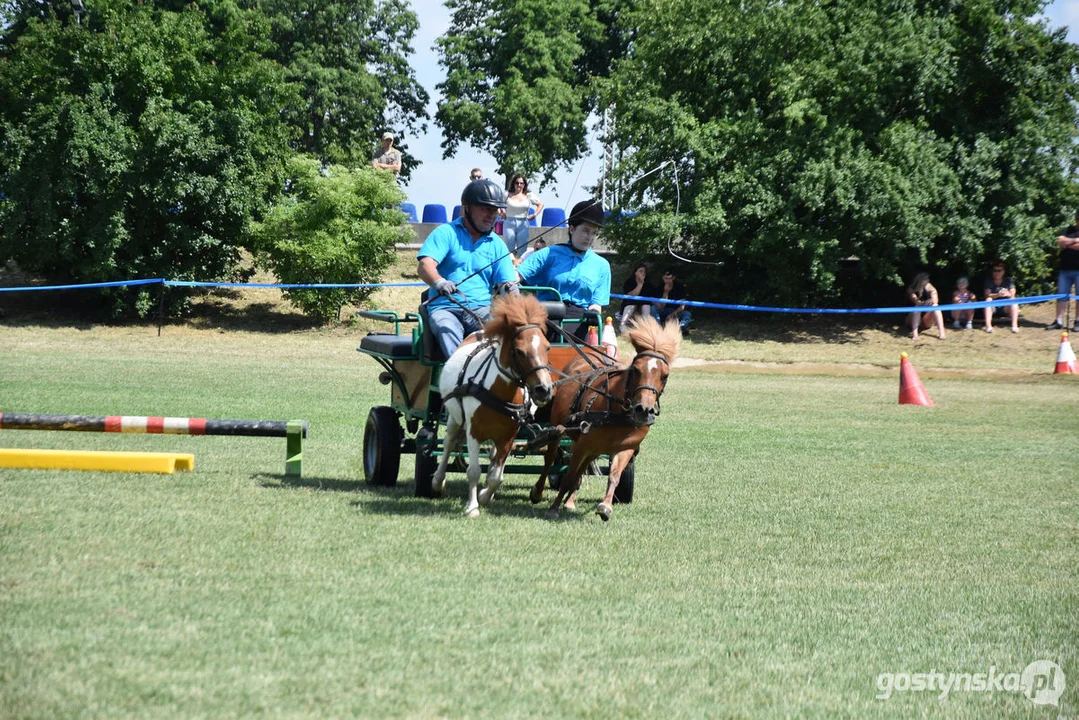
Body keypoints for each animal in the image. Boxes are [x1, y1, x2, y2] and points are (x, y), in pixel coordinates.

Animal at [429, 293, 552, 518]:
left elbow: (496, 476)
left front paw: (485, 495)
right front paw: (472, 507)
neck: (496, 391)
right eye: (519, 351)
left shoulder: (509, 436)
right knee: (449, 443)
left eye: (547, 347)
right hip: (454, 417)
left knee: (493, 457)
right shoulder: (474, 431)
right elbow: (473, 471)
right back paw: (437, 481)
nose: (544, 389)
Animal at [528, 313, 677, 518]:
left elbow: (614, 476)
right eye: (635, 369)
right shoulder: (583, 444)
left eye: (665, 375)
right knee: (550, 459)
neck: (617, 413)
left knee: (583, 467)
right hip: (558, 428)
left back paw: (570, 501)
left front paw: (605, 506)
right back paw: (538, 492)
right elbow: (569, 476)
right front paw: (553, 508)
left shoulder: (625, 448)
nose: (643, 410)